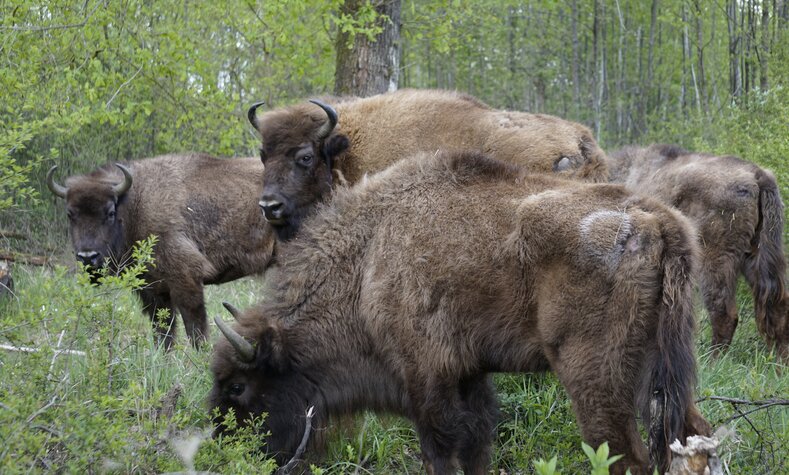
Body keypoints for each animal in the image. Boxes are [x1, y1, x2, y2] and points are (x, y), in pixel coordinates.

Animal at [47, 153, 274, 350]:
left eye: (110, 212)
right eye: (70, 214)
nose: (88, 257)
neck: (135, 204)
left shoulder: (186, 279)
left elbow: (194, 328)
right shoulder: (152, 290)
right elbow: (163, 331)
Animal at [208, 151, 708, 474]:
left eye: (237, 386)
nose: (224, 447)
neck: (368, 258)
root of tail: (656, 219)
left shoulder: (427, 379)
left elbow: (440, 452)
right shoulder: (468, 376)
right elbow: (476, 447)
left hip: (596, 378)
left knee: (627, 455)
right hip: (661, 372)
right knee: (690, 436)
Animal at [608, 143, 788, 358]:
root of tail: (758, 175)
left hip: (715, 257)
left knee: (723, 310)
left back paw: (713, 359)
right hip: (756, 252)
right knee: (776, 305)